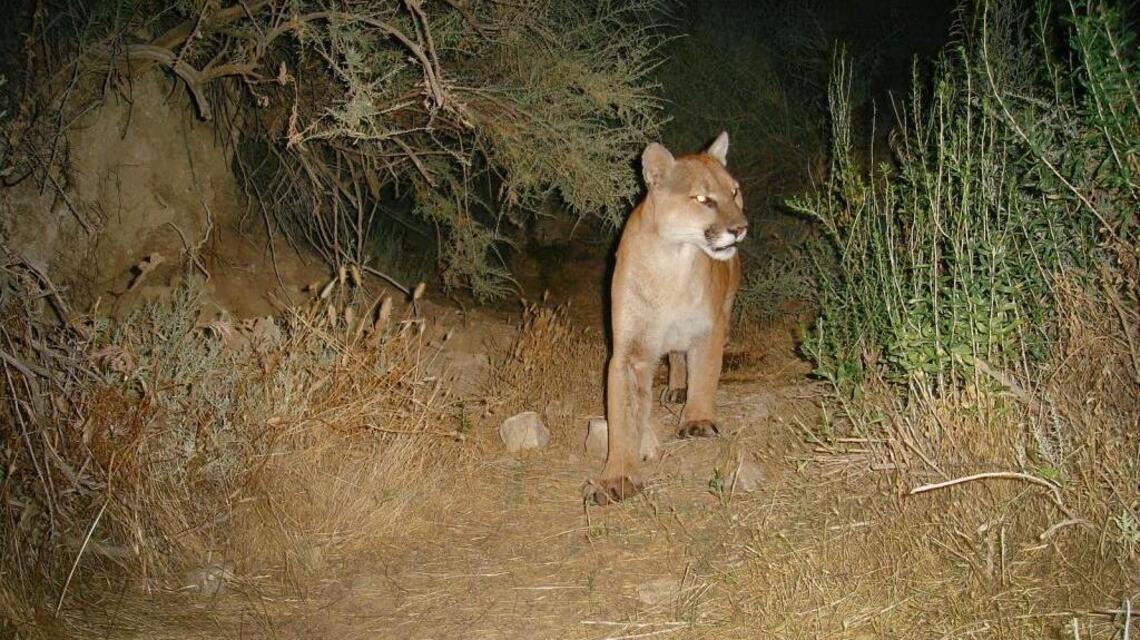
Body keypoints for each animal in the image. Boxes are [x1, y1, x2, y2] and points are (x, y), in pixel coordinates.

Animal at [589, 131, 747, 506]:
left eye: (734, 192)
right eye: (703, 199)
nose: (740, 228)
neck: (673, 261)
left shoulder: (709, 329)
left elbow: (705, 374)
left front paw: (698, 421)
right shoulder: (631, 350)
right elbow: (623, 415)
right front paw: (617, 477)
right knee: (673, 357)